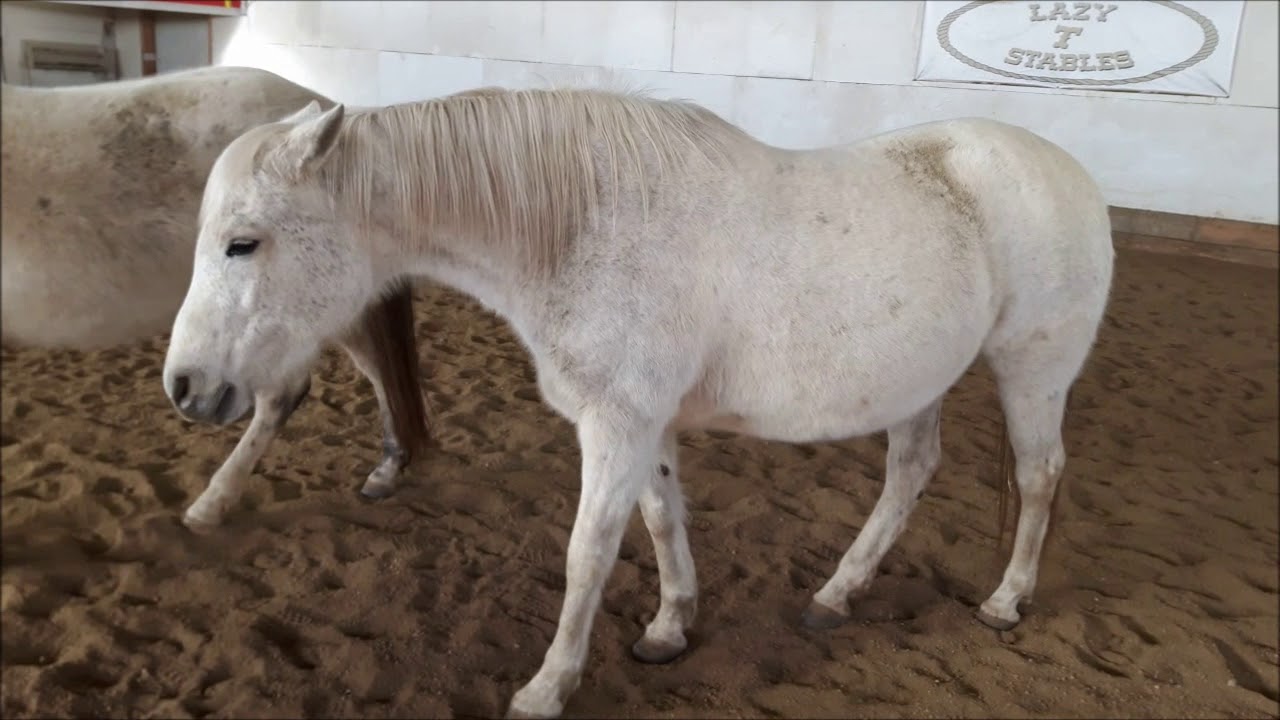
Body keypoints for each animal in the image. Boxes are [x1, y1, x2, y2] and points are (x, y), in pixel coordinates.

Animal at [160, 86, 1114, 718]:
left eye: (243, 243)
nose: (184, 386)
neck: (581, 223)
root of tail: (1070, 173)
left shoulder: (614, 428)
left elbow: (588, 553)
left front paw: (547, 687)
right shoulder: (644, 427)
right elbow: (660, 522)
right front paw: (668, 628)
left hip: (1034, 371)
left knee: (1040, 477)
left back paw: (1006, 601)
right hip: (922, 380)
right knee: (911, 475)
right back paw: (837, 594)